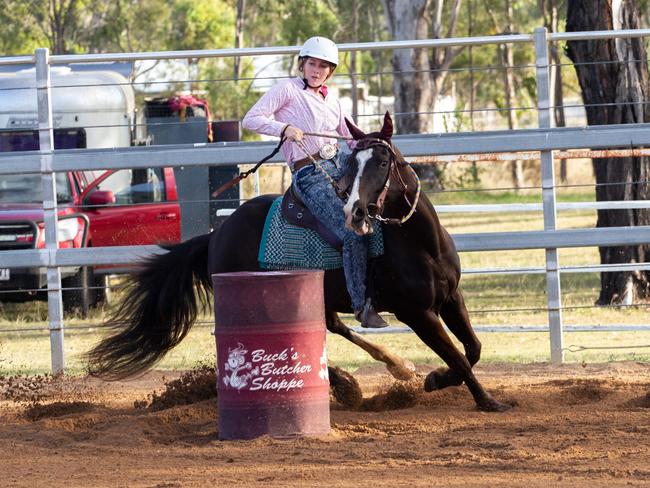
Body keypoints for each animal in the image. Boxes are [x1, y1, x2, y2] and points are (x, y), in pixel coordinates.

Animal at [86, 111, 508, 412]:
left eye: (382, 162)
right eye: (352, 165)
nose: (355, 211)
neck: (421, 243)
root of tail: (215, 235)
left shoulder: (451, 298)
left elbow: (472, 349)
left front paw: (437, 379)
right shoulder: (417, 313)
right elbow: (458, 355)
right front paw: (486, 401)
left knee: (333, 326)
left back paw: (393, 367)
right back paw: (348, 384)